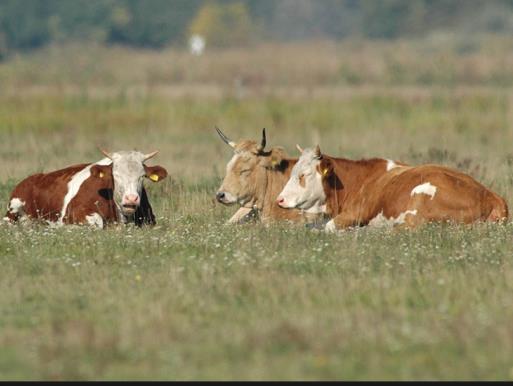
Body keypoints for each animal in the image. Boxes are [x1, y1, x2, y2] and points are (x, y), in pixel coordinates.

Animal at [4, 149, 168, 228]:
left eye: (142, 176)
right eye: (115, 174)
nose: (131, 199)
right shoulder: (75, 212)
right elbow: (97, 223)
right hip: (12, 210)